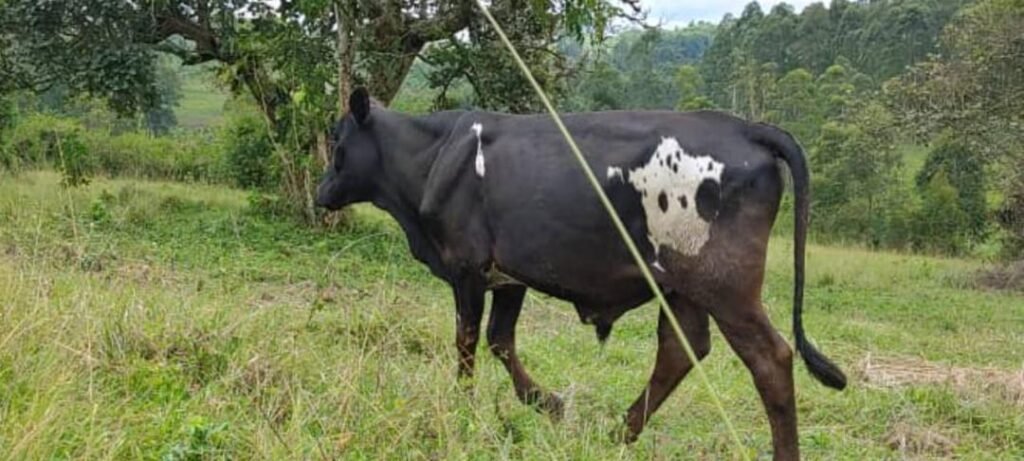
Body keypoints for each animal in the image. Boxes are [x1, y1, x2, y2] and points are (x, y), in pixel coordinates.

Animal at [316, 88, 846, 460]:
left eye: (337, 139)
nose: (320, 192)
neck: (432, 156)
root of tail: (746, 128)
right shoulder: (509, 275)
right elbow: (499, 340)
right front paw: (549, 403)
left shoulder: (468, 268)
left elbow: (466, 343)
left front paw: (464, 408)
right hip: (680, 286)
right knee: (681, 349)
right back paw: (620, 432)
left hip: (727, 286)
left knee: (770, 359)